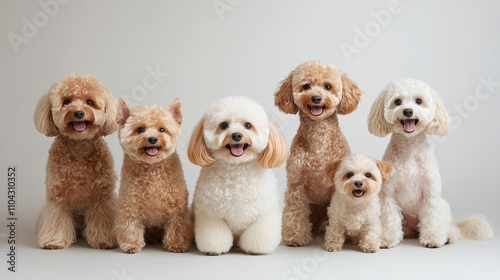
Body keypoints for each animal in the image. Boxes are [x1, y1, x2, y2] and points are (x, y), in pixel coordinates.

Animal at [34, 74, 118, 249]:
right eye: (66, 102)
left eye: (90, 102)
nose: (79, 113)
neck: (80, 147)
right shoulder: (57, 197)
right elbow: (56, 219)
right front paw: (53, 241)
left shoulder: (102, 198)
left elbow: (102, 219)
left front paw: (104, 240)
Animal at [114, 98, 192, 254]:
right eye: (140, 129)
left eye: (162, 129)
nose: (152, 139)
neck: (152, 168)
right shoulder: (130, 205)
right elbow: (130, 225)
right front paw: (131, 244)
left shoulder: (177, 208)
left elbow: (177, 226)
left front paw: (177, 244)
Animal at [188, 95, 290, 255]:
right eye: (223, 125)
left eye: (248, 125)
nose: (236, 135)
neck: (237, 169)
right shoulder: (211, 213)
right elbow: (214, 233)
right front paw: (214, 249)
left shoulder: (264, 212)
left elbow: (259, 232)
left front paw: (256, 249)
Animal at [276, 60, 362, 246]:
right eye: (306, 86)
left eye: (328, 86)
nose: (316, 98)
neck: (319, 142)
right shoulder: (296, 183)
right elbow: (295, 212)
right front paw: (295, 237)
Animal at [368, 77, 492, 248]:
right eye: (397, 102)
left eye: (418, 101)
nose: (408, 111)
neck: (410, 148)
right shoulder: (388, 196)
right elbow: (389, 219)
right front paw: (387, 239)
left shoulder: (431, 195)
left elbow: (433, 218)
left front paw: (433, 239)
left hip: (444, 208)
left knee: (449, 227)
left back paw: (448, 236)